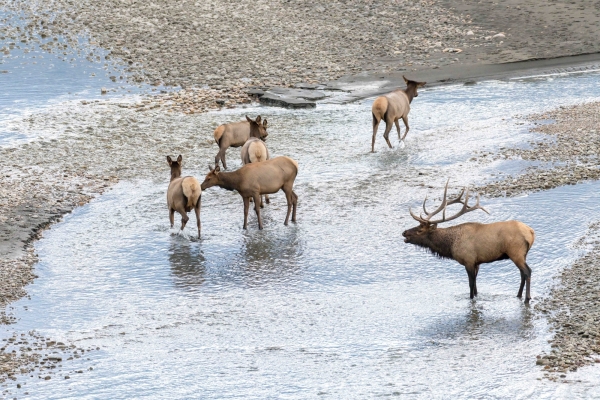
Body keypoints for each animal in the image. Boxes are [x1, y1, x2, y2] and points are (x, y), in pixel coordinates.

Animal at [404, 182, 536, 304]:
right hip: (522, 254)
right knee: (522, 273)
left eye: (420, 230)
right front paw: (476, 297)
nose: (404, 232)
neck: (450, 246)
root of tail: (531, 232)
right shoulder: (476, 262)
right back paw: (518, 295)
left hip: (516, 252)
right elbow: (476, 285)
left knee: (527, 271)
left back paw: (527, 298)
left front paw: (471, 300)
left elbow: (471, 284)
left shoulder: (468, 260)